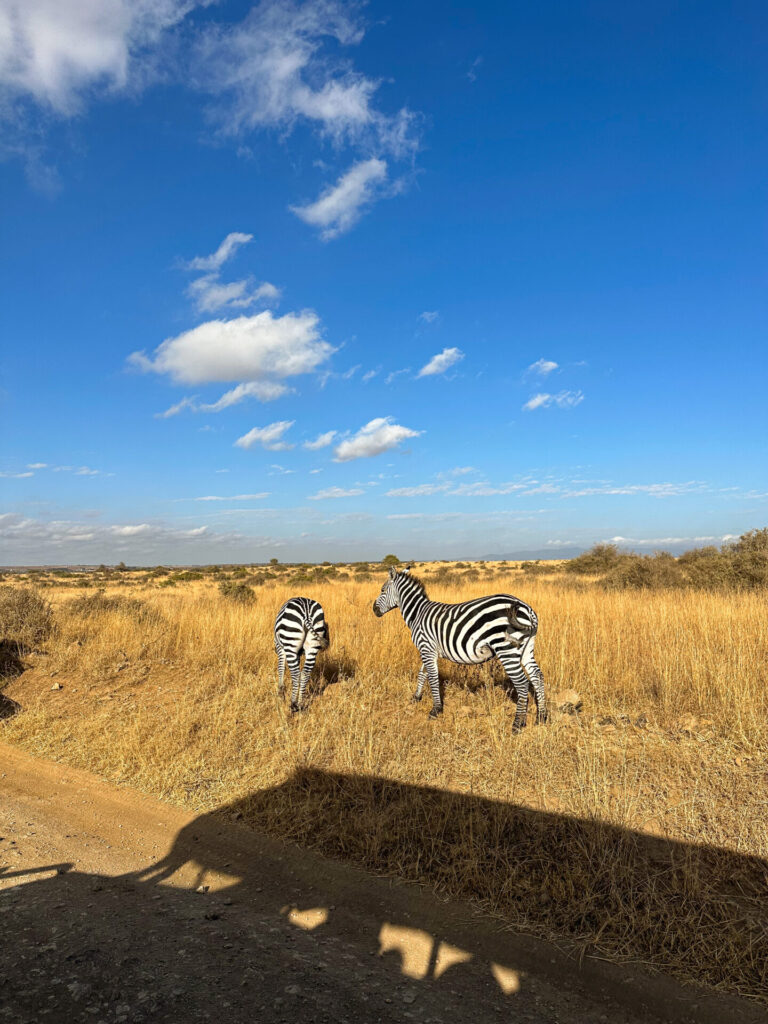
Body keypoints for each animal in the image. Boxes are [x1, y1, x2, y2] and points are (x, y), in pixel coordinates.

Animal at [372, 569, 548, 729]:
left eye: (382, 590)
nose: (374, 609)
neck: (417, 614)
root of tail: (527, 609)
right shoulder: (428, 649)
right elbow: (423, 674)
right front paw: (416, 698)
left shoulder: (426, 648)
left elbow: (433, 678)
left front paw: (435, 710)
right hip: (526, 648)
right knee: (537, 676)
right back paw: (542, 717)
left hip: (506, 649)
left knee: (522, 683)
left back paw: (518, 724)